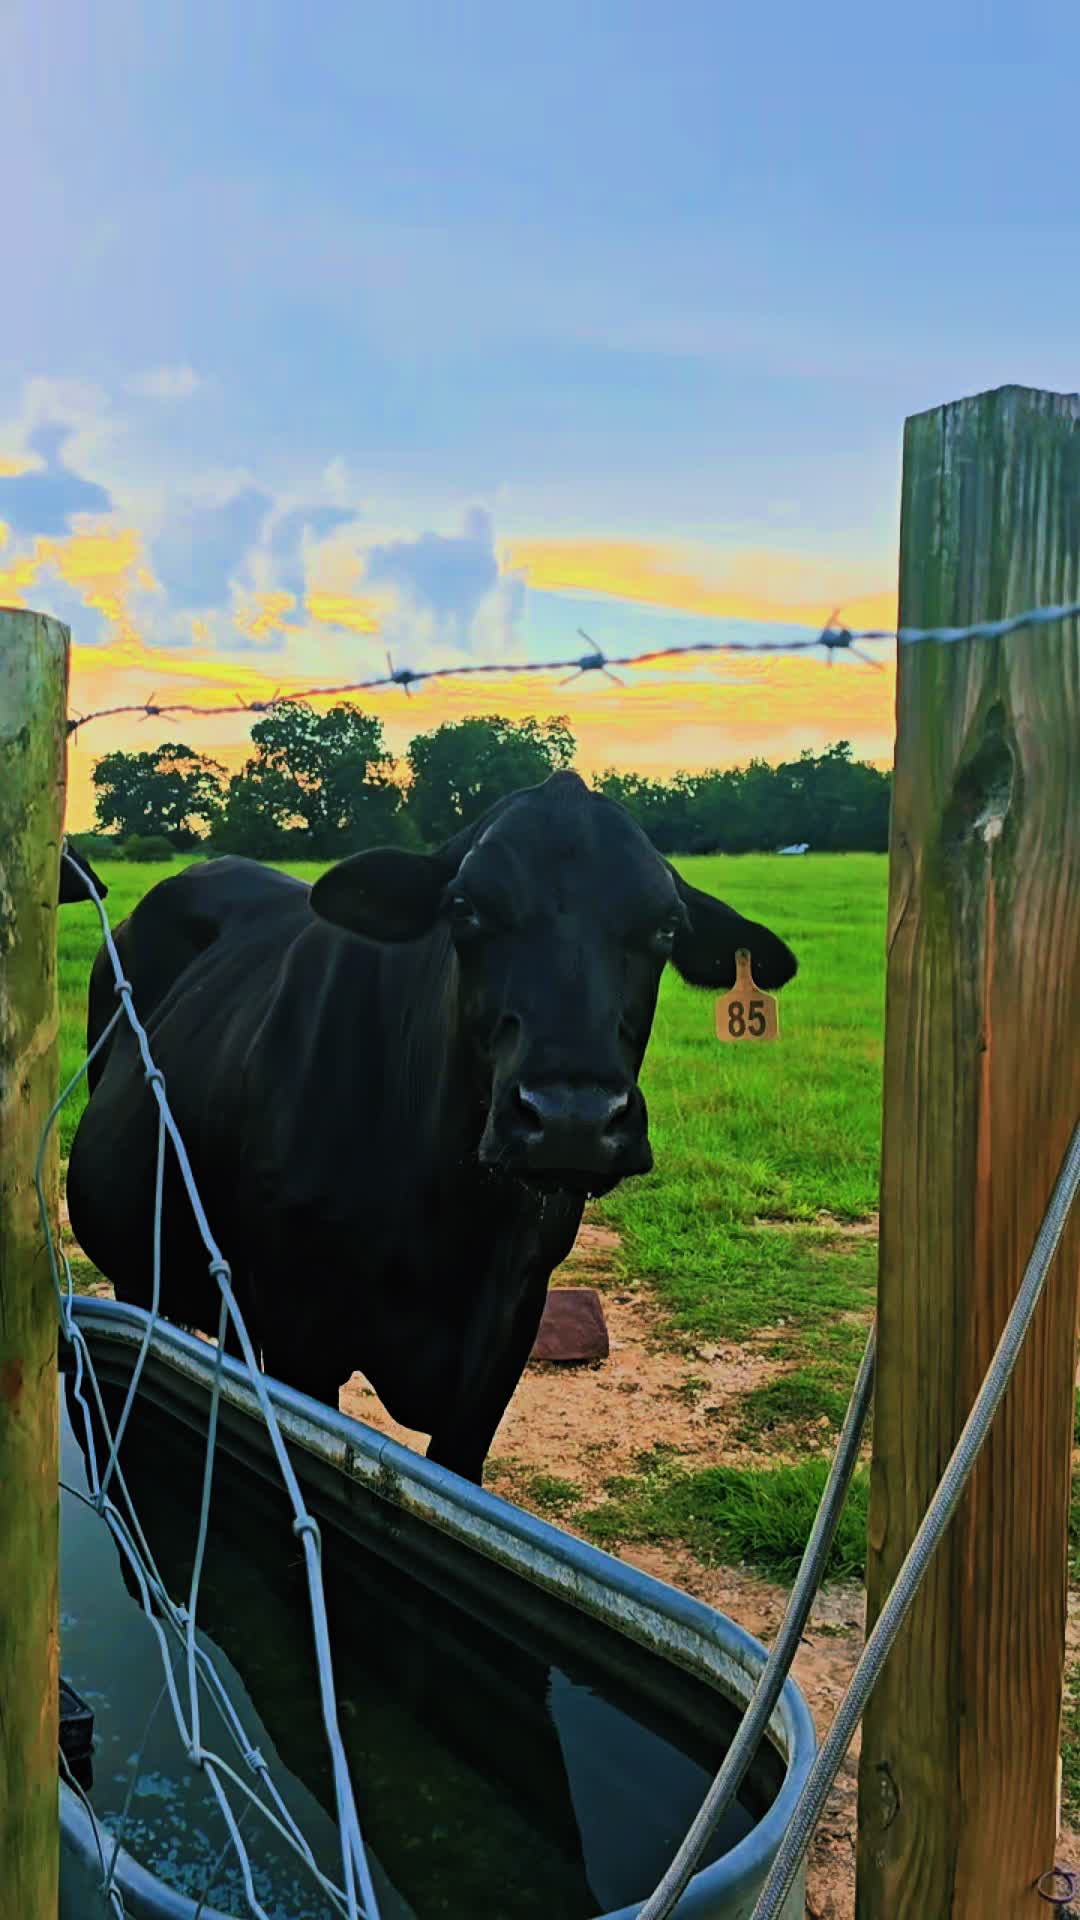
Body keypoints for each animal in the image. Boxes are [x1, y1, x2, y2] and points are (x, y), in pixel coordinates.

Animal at [66, 771, 796, 1484]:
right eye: (466, 908)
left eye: (667, 926)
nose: (573, 1118)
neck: (449, 1217)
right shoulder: (296, 1329)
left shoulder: (507, 1331)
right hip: (138, 1270)